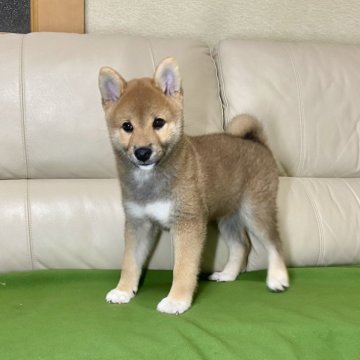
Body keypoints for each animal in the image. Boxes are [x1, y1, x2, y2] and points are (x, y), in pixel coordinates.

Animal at [97, 57, 288, 314]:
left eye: (158, 122)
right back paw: (227, 274)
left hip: (255, 210)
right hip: (227, 216)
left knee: (274, 242)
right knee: (241, 245)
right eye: (127, 126)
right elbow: (130, 262)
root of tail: (257, 143)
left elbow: (183, 267)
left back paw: (278, 278)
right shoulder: (138, 224)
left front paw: (177, 300)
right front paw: (124, 290)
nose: (143, 152)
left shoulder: (187, 223)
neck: (152, 180)